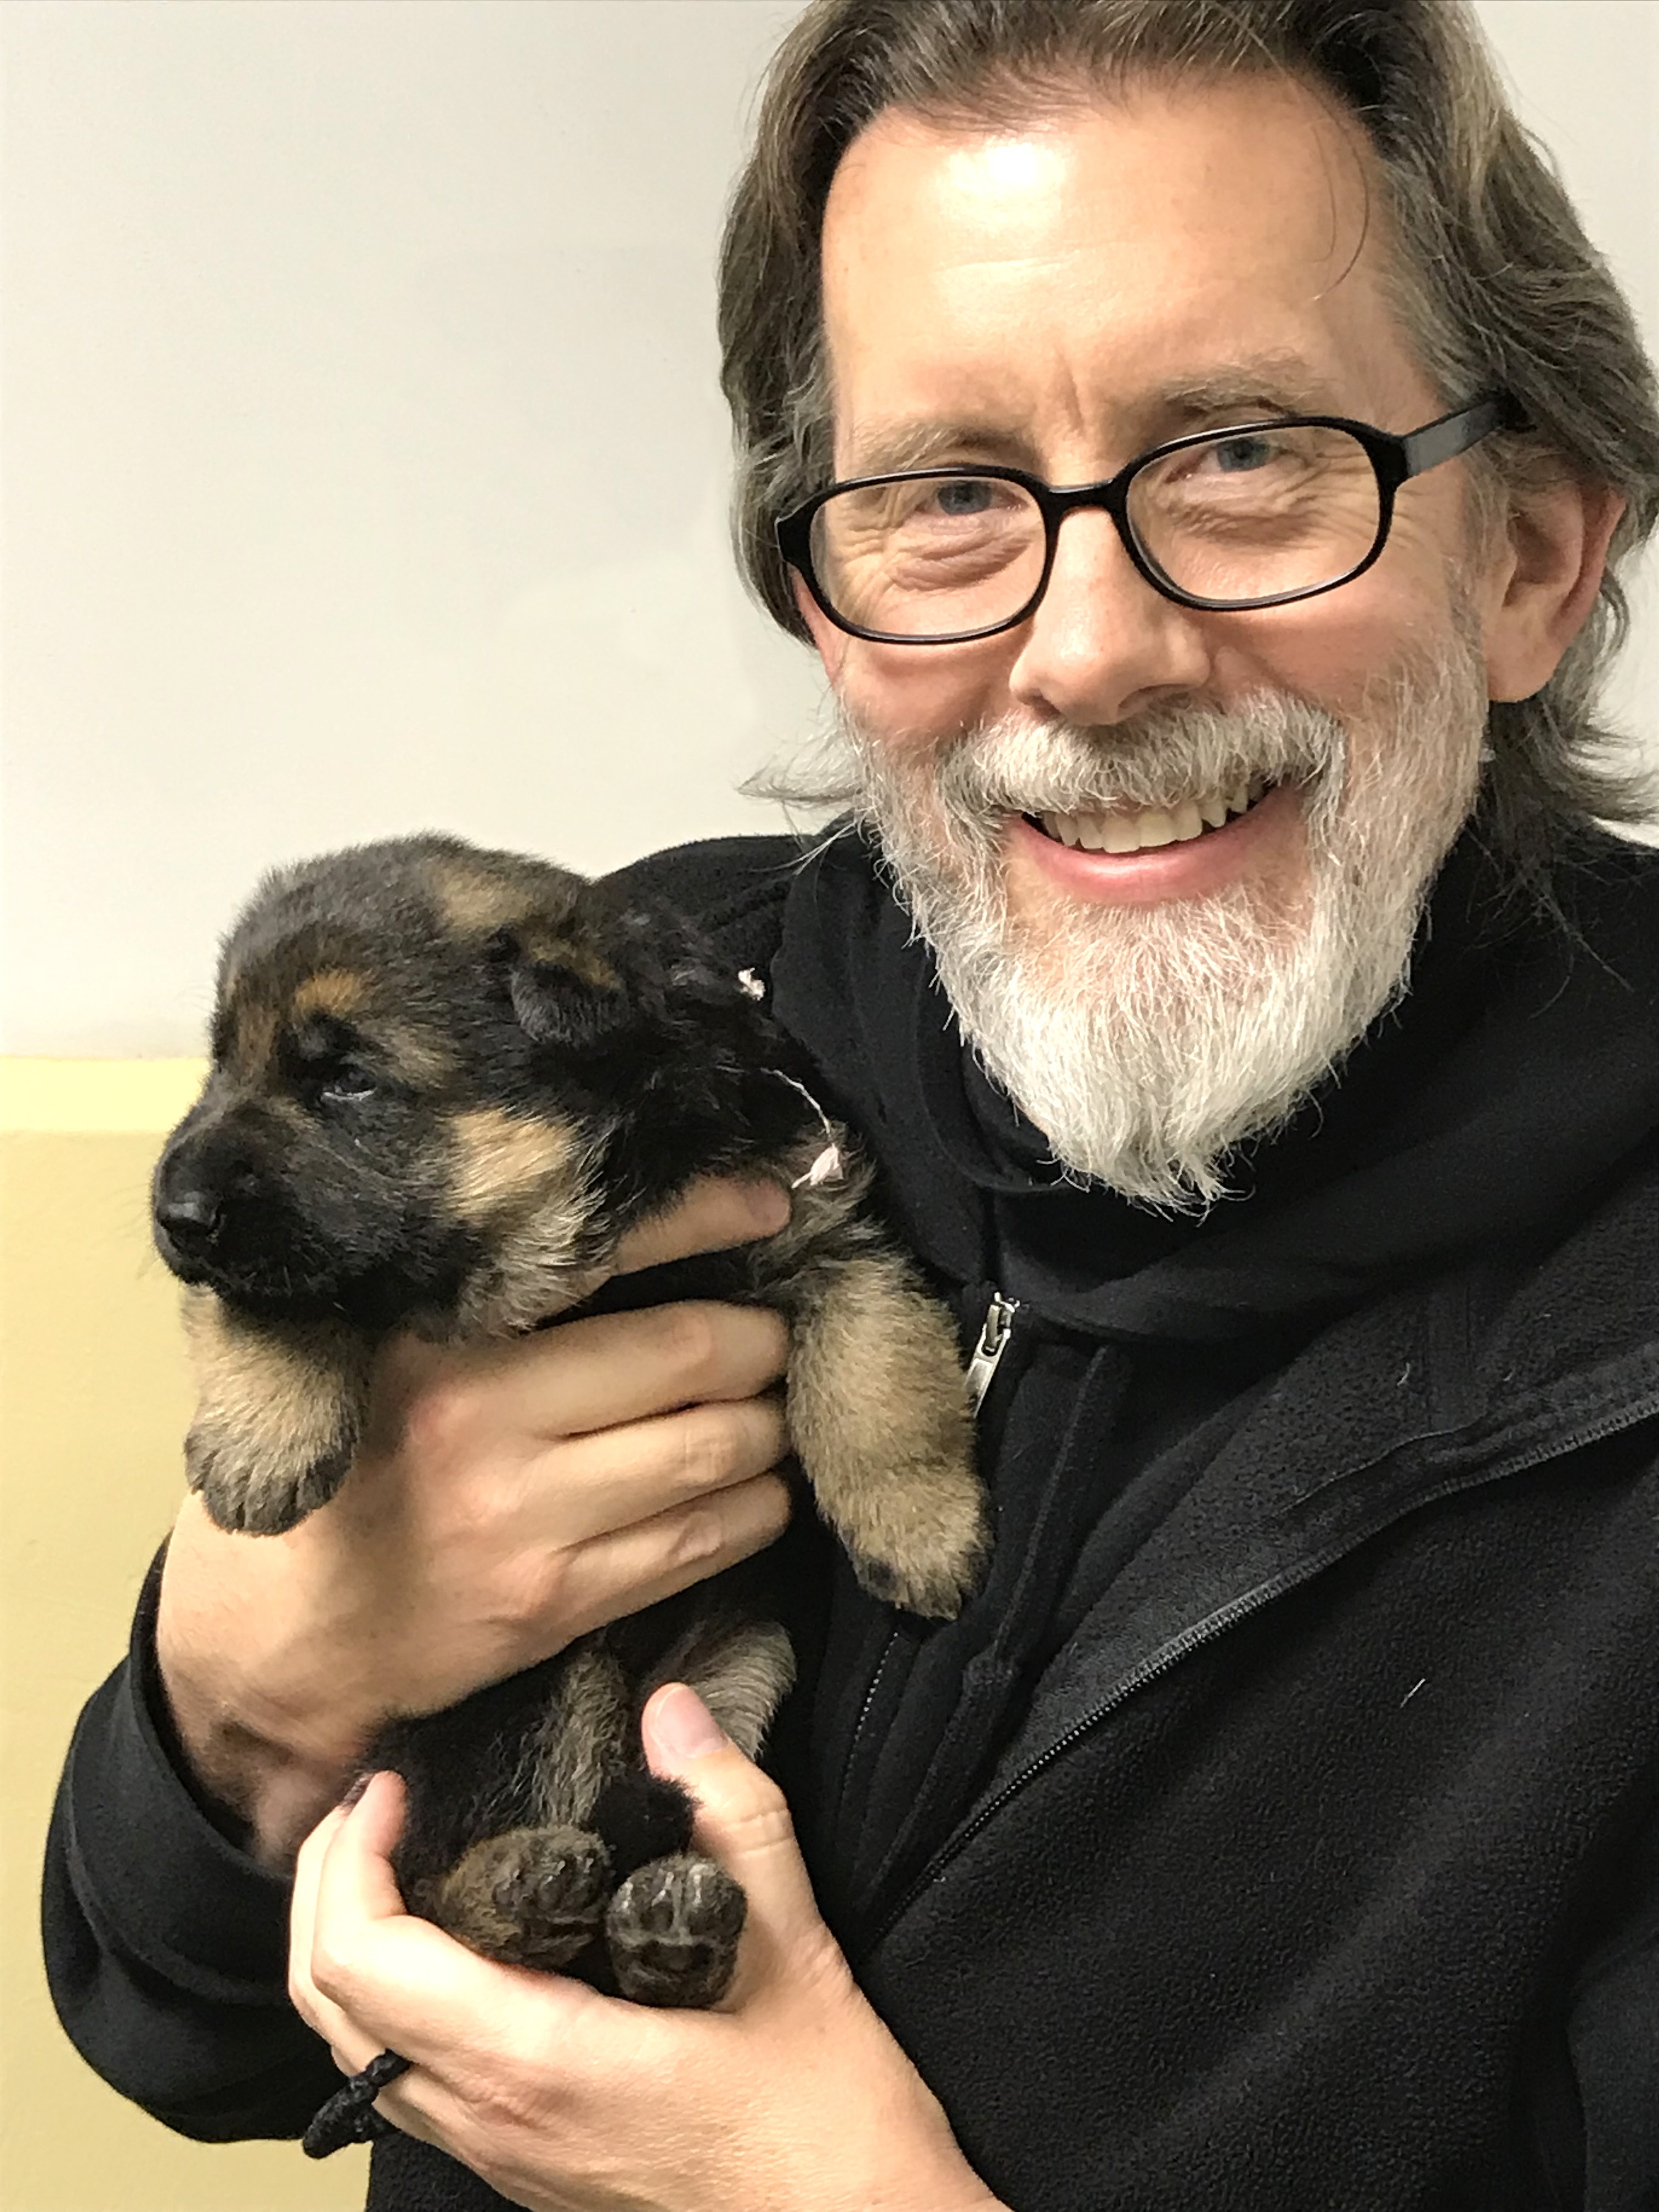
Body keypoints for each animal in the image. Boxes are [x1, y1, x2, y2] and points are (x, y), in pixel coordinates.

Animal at [152, 834, 986, 2045]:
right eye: (221, 1065)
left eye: (346, 1078)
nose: (170, 1214)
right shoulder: (315, 1267)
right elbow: (280, 1296)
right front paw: (258, 1446)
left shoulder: (823, 1231)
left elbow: (880, 1368)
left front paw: (921, 1529)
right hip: (545, 1688)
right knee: (441, 1892)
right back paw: (523, 1893)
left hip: (731, 1683)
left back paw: (664, 1937)